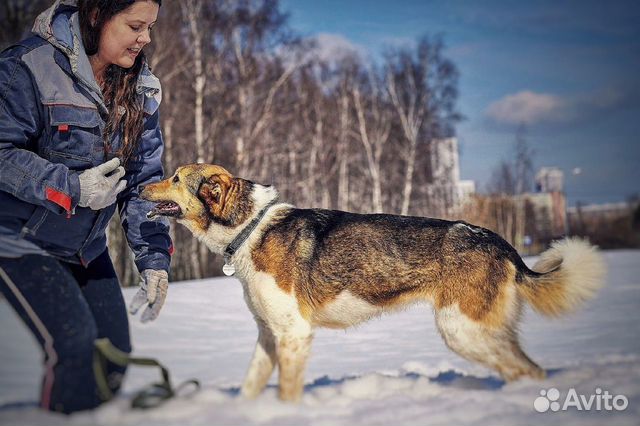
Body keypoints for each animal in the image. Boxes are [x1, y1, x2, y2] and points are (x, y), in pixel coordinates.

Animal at [140, 164, 604, 402]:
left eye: (176, 179)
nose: (140, 184)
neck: (251, 228)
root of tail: (501, 242)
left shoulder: (293, 334)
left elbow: (287, 391)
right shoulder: (269, 337)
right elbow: (251, 386)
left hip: (463, 330)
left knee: (529, 370)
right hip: (477, 333)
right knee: (522, 368)